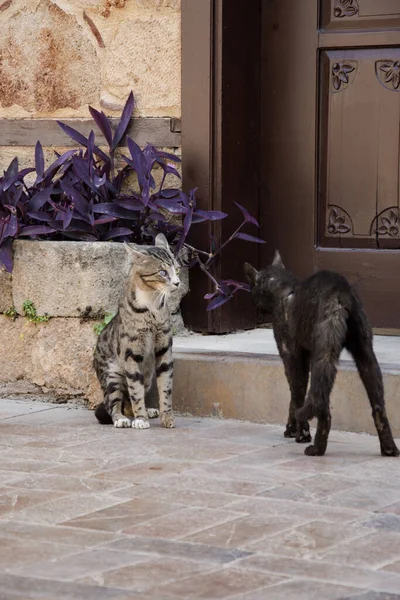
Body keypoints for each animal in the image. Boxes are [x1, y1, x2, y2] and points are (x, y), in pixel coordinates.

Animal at [94, 236, 179, 432]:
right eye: (162, 272)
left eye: (177, 269)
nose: (178, 282)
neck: (152, 305)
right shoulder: (131, 353)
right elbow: (135, 390)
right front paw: (140, 419)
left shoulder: (164, 349)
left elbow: (166, 387)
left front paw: (167, 418)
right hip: (112, 376)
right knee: (113, 403)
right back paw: (122, 419)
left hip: (147, 376)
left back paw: (148, 411)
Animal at [245, 251, 398, 458]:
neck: (283, 288)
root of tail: (339, 293)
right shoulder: (305, 356)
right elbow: (294, 395)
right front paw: (292, 428)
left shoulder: (290, 354)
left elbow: (296, 393)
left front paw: (300, 433)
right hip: (365, 354)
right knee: (378, 406)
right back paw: (389, 448)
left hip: (323, 353)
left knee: (322, 405)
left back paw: (316, 448)